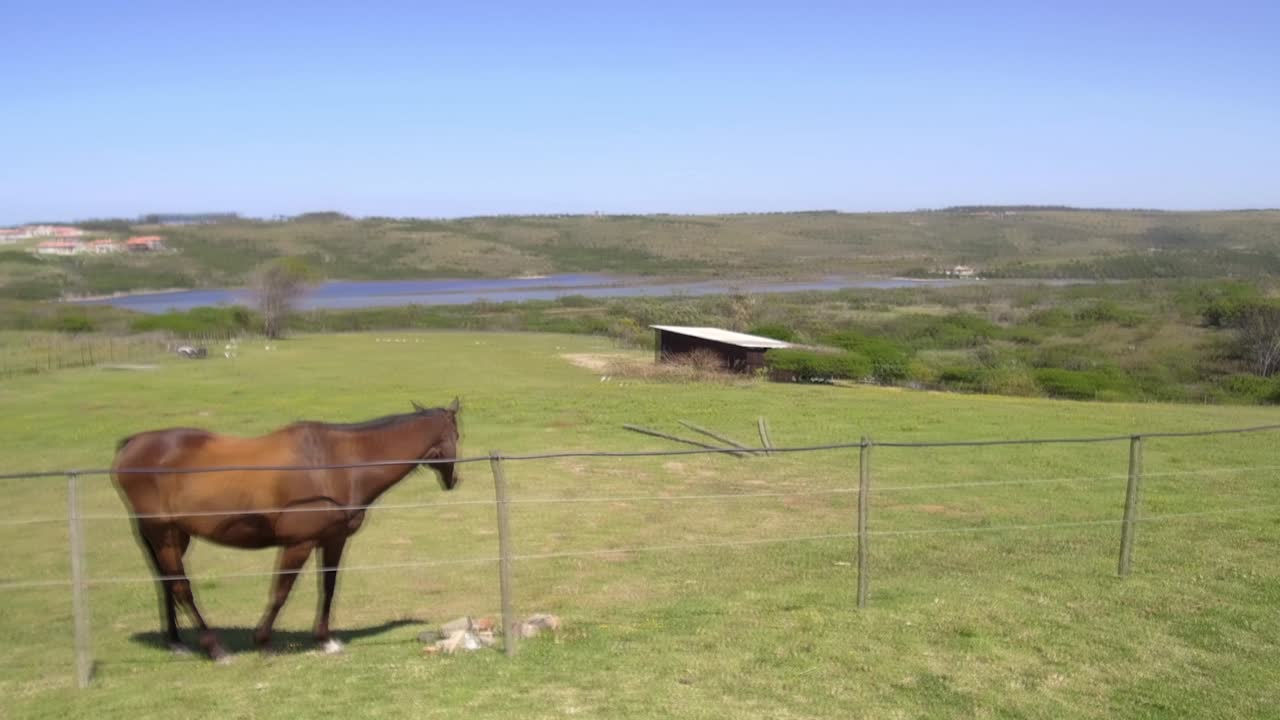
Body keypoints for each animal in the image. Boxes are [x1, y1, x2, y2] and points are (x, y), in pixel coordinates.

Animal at [110, 399, 463, 662]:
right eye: (457, 436)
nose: (453, 480)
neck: (335, 464)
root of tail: (132, 445)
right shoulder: (299, 544)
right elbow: (281, 591)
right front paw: (263, 641)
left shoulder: (332, 540)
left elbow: (328, 587)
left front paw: (325, 640)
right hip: (164, 535)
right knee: (181, 586)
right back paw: (215, 648)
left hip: (171, 536)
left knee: (166, 583)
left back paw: (176, 642)